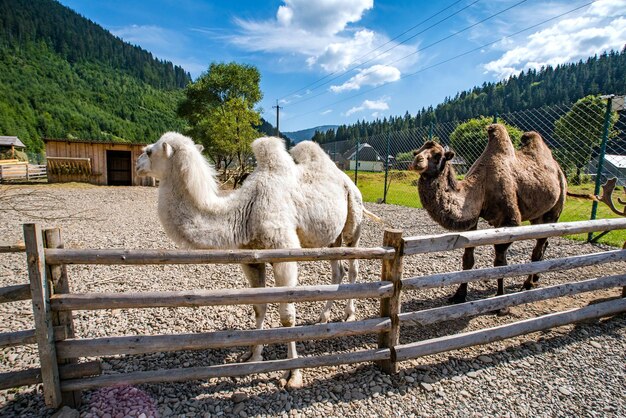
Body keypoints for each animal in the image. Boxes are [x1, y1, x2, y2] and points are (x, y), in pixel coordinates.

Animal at [135, 131, 376, 388]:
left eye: (150, 151)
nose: (137, 163)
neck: (243, 214)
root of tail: (347, 179)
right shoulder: (251, 260)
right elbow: (258, 307)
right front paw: (253, 355)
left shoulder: (284, 256)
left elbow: (287, 317)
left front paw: (293, 374)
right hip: (332, 238)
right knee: (337, 271)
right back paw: (323, 317)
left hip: (354, 221)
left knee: (353, 267)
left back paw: (349, 314)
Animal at [410, 122, 564, 312]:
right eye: (417, 151)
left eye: (438, 155)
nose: (417, 161)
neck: (481, 187)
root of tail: (558, 169)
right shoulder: (472, 221)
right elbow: (468, 260)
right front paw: (459, 296)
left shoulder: (510, 221)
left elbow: (500, 263)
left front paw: (501, 302)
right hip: (537, 214)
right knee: (543, 243)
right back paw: (535, 279)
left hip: (556, 206)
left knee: (538, 248)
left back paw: (528, 284)